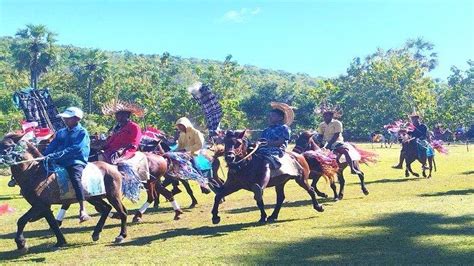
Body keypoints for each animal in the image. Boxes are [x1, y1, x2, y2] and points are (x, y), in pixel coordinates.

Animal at [0, 133, 130, 251]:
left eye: (7, 146)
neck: (34, 173)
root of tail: (114, 168)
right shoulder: (44, 207)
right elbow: (52, 224)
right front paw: (60, 241)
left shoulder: (39, 205)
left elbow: (21, 220)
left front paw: (21, 243)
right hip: (93, 197)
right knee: (106, 209)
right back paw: (96, 233)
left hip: (113, 196)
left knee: (122, 213)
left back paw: (121, 236)